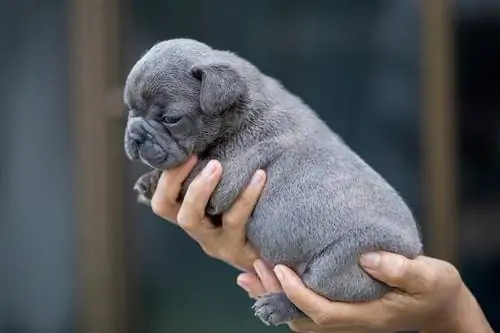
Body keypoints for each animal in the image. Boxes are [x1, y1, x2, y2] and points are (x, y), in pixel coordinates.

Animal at [123, 38, 424, 324]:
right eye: (130, 109)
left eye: (170, 119)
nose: (135, 133)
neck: (240, 104)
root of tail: (413, 252)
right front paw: (148, 181)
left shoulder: (224, 171)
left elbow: (192, 170)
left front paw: (153, 182)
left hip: (347, 259)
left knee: (313, 295)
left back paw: (279, 306)